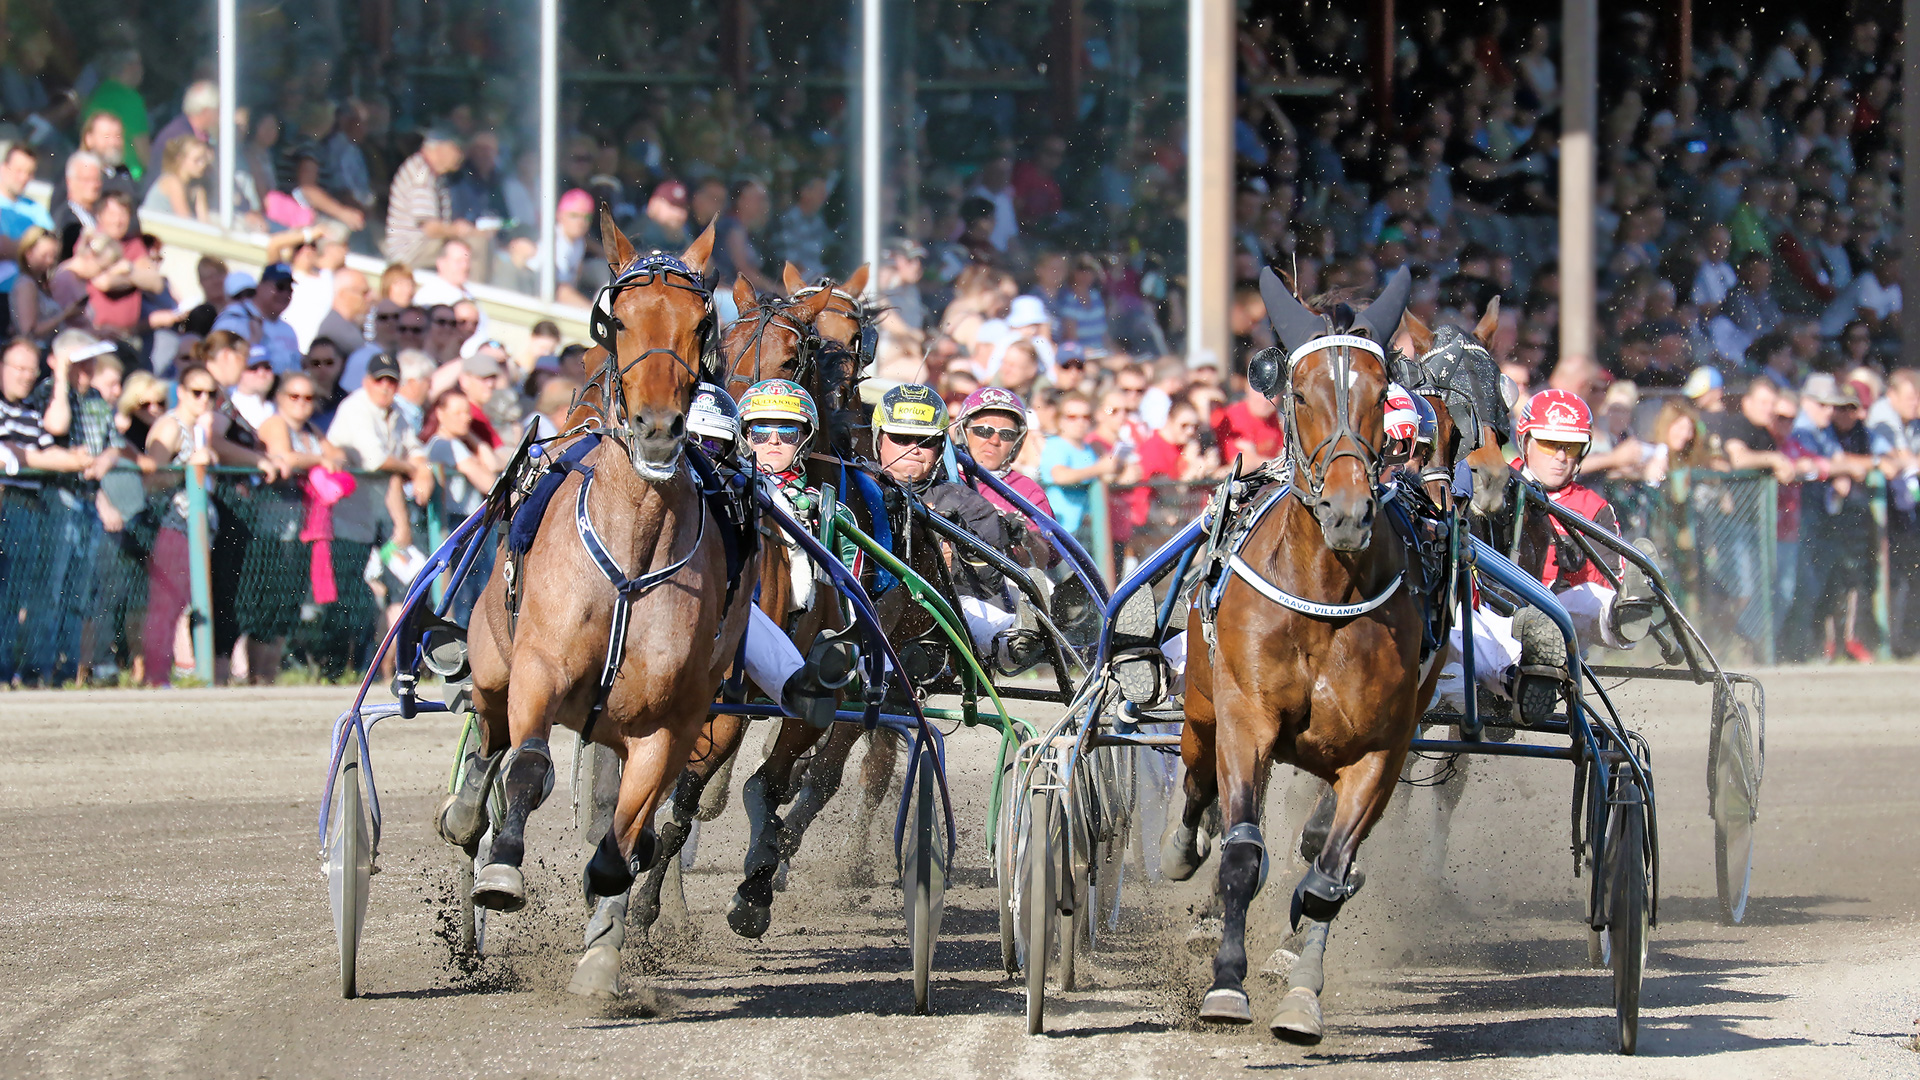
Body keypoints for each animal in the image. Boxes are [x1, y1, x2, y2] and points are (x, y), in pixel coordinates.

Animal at [445, 216, 752, 991]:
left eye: (702, 322)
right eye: (617, 319)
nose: (658, 429)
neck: (633, 546)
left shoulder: (669, 723)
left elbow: (625, 839)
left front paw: (602, 955)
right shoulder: (541, 670)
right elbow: (527, 768)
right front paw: (501, 873)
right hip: (494, 661)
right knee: (489, 740)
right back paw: (466, 821)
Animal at [1159, 265, 1443, 1037]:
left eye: (1381, 391)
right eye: (1302, 392)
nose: (1348, 513)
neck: (1324, 597)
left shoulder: (1383, 748)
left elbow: (1327, 876)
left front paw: (1301, 993)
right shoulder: (1246, 717)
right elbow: (1240, 852)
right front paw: (1226, 984)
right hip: (1201, 707)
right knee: (1198, 785)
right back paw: (1180, 851)